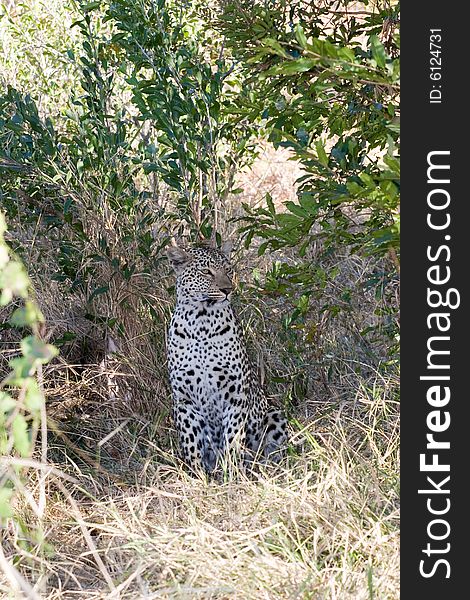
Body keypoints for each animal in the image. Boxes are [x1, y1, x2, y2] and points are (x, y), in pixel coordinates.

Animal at [167, 240, 288, 474]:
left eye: (228, 269)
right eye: (206, 271)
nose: (228, 290)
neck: (201, 323)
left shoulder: (236, 394)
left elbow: (232, 437)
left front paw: (232, 472)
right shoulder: (184, 400)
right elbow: (191, 443)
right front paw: (197, 476)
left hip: (274, 414)